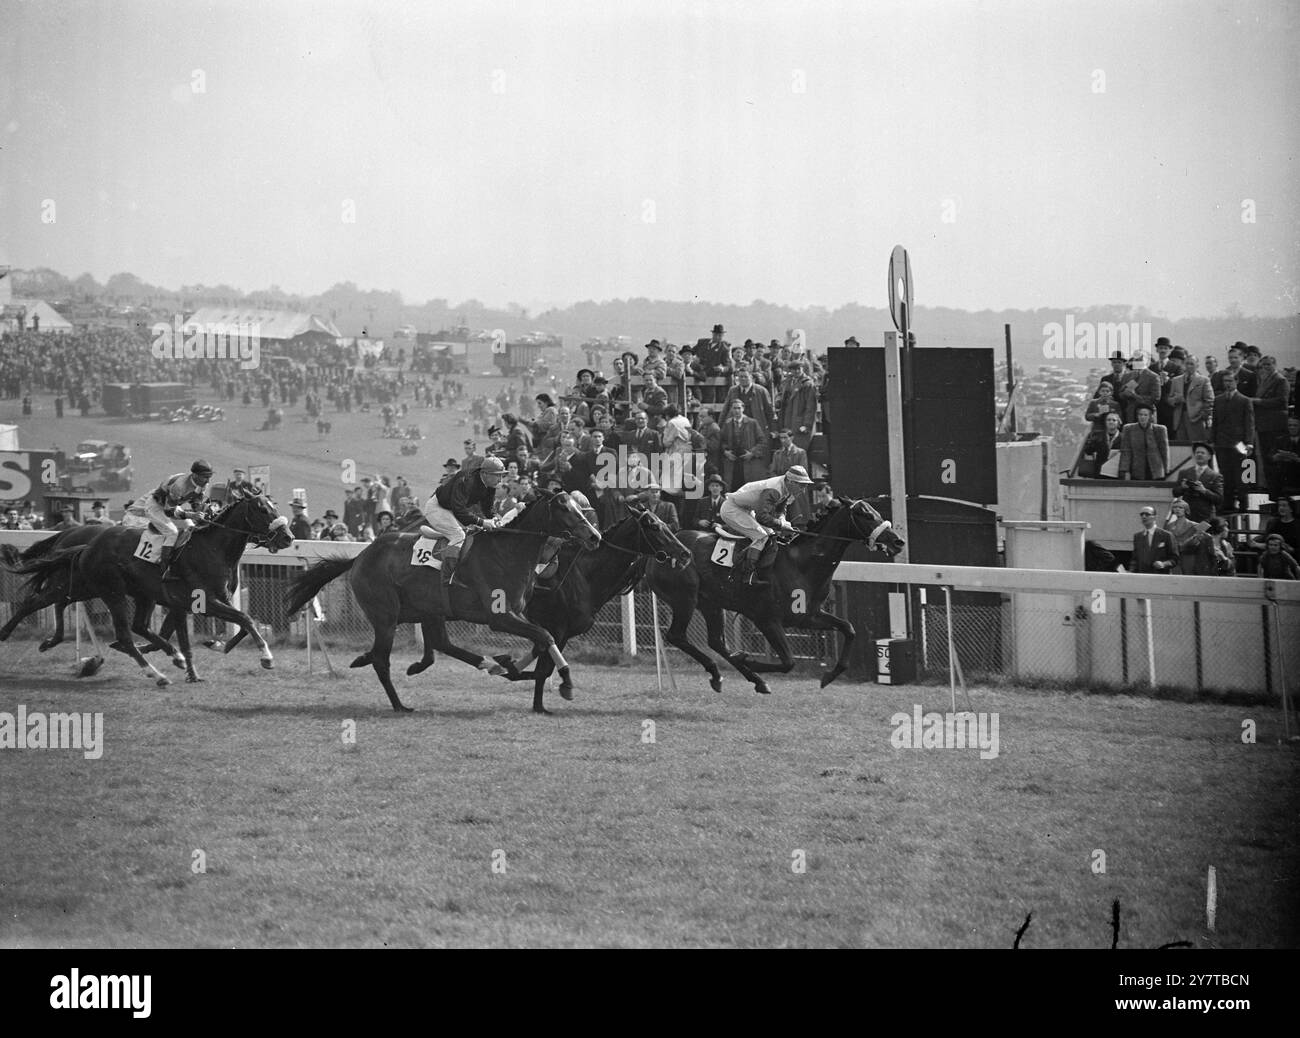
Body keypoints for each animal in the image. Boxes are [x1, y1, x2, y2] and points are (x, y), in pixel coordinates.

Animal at [3, 494, 293, 686]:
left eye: (274, 506)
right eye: (261, 509)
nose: (288, 537)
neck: (213, 549)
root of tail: (87, 546)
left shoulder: (207, 601)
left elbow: (243, 624)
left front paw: (212, 648)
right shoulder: (202, 602)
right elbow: (244, 619)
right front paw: (266, 657)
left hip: (101, 589)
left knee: (129, 624)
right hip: (110, 592)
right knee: (121, 632)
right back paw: (156, 673)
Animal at [284, 491, 598, 712]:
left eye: (580, 507)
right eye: (564, 508)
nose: (595, 536)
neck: (508, 552)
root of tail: (360, 556)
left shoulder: (520, 614)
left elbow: (543, 639)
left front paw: (511, 666)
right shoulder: (500, 617)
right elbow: (546, 636)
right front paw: (567, 683)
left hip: (430, 609)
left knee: (439, 644)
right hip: (386, 617)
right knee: (382, 660)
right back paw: (399, 704)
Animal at [647, 499, 904, 697]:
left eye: (876, 511)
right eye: (865, 514)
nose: (898, 541)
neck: (802, 563)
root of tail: (658, 552)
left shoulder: (808, 616)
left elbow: (849, 628)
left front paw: (830, 675)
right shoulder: (766, 619)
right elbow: (789, 662)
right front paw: (747, 659)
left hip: (711, 603)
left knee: (717, 641)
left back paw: (744, 678)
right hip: (685, 599)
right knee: (677, 635)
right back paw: (727, 672)